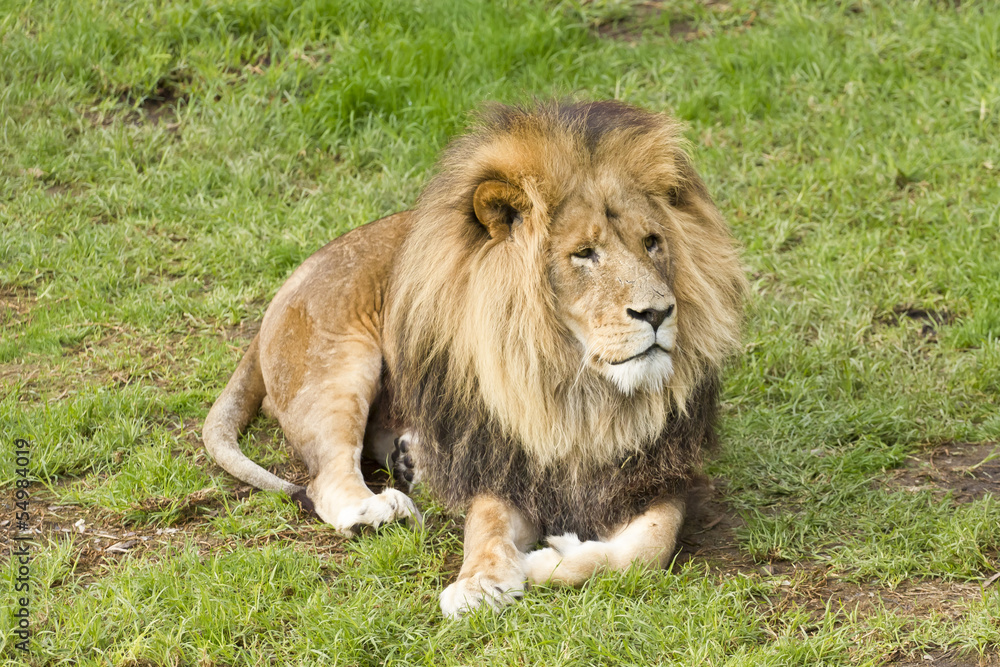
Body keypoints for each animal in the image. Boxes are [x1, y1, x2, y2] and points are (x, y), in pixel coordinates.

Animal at [203, 100, 746, 618]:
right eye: (584, 253)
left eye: (652, 243)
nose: (657, 312)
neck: (578, 391)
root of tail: (284, 289)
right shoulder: (501, 463)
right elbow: (486, 529)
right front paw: (479, 585)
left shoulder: (660, 476)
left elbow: (644, 551)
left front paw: (546, 560)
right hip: (338, 365)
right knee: (325, 478)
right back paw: (376, 511)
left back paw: (412, 460)